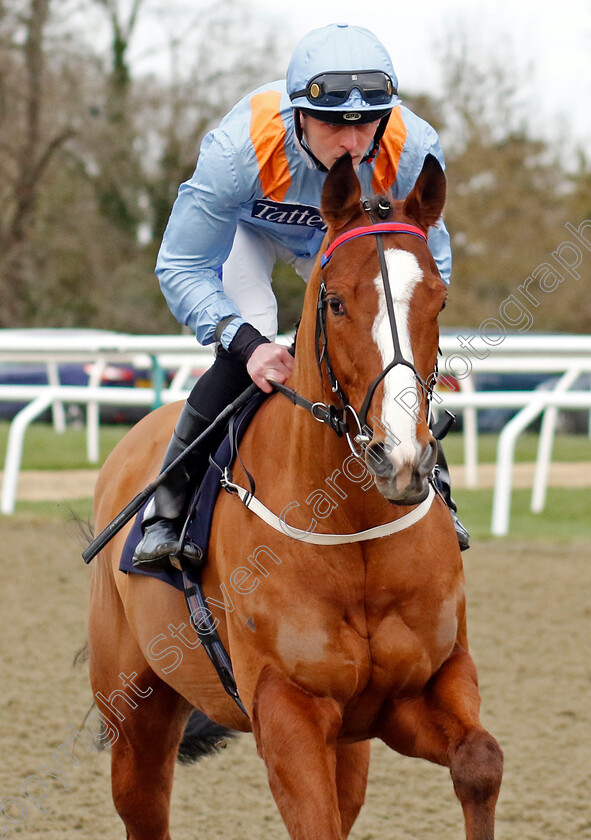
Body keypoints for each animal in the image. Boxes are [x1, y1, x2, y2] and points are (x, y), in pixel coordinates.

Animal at [88, 156, 504, 840]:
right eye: (334, 303)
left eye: (439, 299)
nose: (400, 459)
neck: (352, 529)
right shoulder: (287, 707)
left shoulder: (419, 688)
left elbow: (480, 761)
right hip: (135, 709)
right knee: (142, 807)